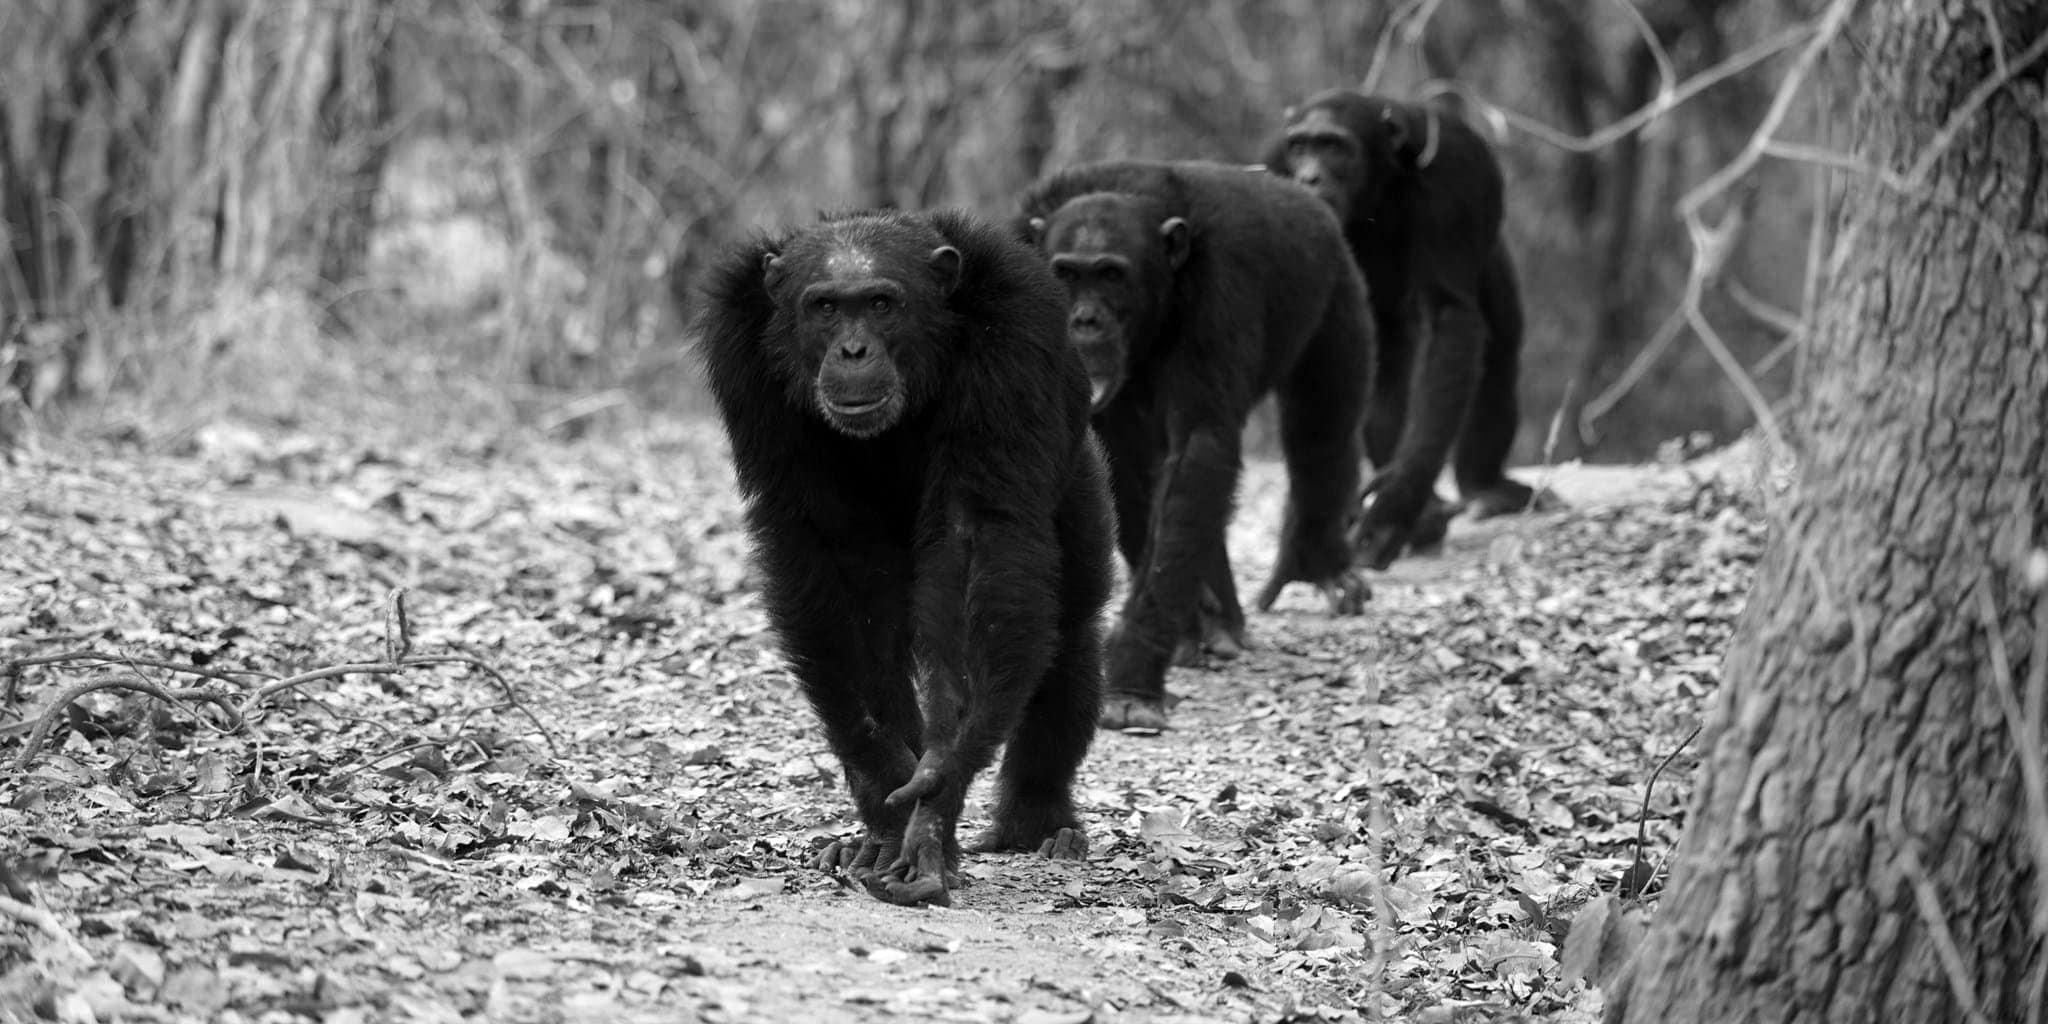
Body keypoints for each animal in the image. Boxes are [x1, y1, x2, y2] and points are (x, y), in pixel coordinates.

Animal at [692, 205, 1114, 905]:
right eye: (826, 307)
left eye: (882, 304)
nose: (853, 350)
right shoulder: (742, 357)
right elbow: (833, 558)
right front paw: (893, 797)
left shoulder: (1016, 324)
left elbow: (974, 537)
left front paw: (936, 791)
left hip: (1078, 476)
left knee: (1071, 623)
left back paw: (1038, 820)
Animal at [1019, 163, 1376, 733]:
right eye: (1067, 274)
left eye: (1111, 274)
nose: (1084, 320)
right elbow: (1127, 476)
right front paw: (1185, 625)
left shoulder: (1218, 295)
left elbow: (1198, 450)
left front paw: (1133, 678)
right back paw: (1215, 622)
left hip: (1340, 290)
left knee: (1323, 431)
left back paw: (1321, 568)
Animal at [1261, 89, 1540, 573]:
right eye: (1300, 147)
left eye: (1333, 146)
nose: (1310, 176)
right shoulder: (1275, 172)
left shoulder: (1453, 173)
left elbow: (1450, 317)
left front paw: (1396, 503)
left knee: (1499, 343)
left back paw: (1482, 489)